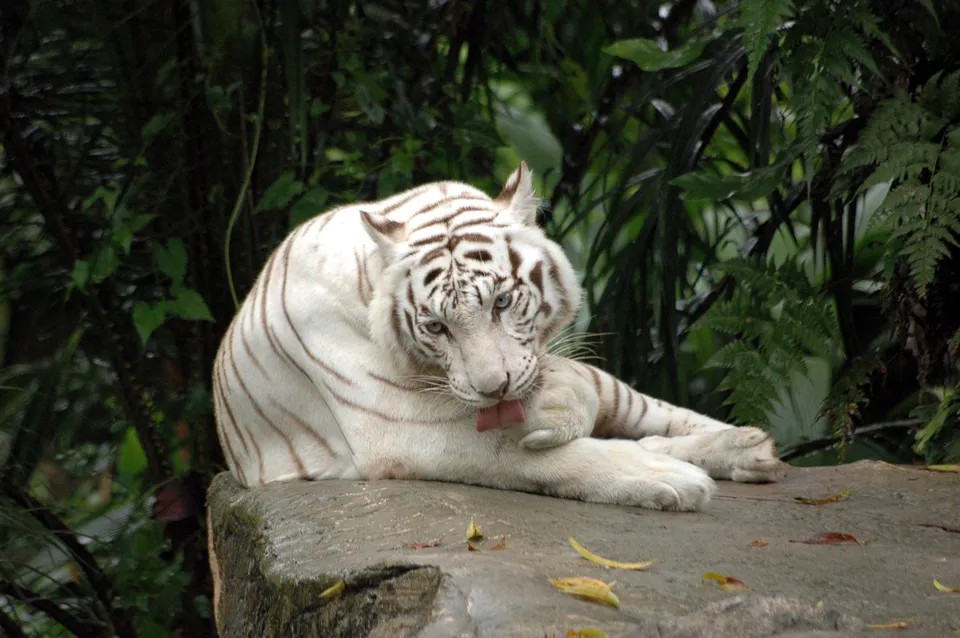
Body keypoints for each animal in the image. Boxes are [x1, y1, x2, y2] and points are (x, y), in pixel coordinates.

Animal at [211, 163, 781, 512]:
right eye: (436, 327)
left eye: (502, 302)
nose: (494, 389)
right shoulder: (403, 431)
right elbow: (549, 456)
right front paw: (668, 479)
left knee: (642, 407)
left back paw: (748, 447)